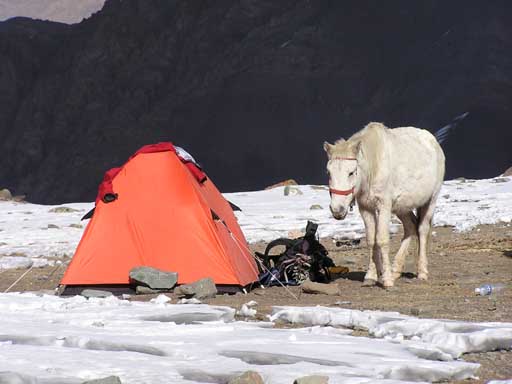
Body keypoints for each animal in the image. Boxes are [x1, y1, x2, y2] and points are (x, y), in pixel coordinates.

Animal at [324, 121, 444, 286]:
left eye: (351, 172)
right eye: (329, 172)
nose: (337, 209)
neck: (373, 168)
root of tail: (434, 142)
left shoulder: (384, 206)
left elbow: (381, 240)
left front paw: (386, 280)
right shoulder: (366, 208)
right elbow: (371, 240)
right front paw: (371, 276)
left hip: (430, 200)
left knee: (422, 229)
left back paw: (421, 272)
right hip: (402, 207)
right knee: (410, 227)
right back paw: (396, 270)